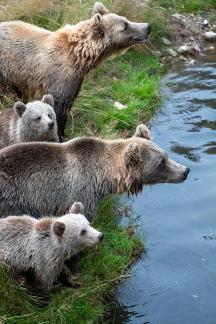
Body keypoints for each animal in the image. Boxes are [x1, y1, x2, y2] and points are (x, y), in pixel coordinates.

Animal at [0, 2, 151, 137]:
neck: (81, 56)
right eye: (125, 25)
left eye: (126, 19)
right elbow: (58, 106)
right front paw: (59, 133)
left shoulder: (76, 79)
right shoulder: (59, 76)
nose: (148, 26)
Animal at [0, 124, 190, 220]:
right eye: (161, 162)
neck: (102, 178)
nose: (185, 170)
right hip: (12, 200)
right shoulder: (80, 192)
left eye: (166, 154)